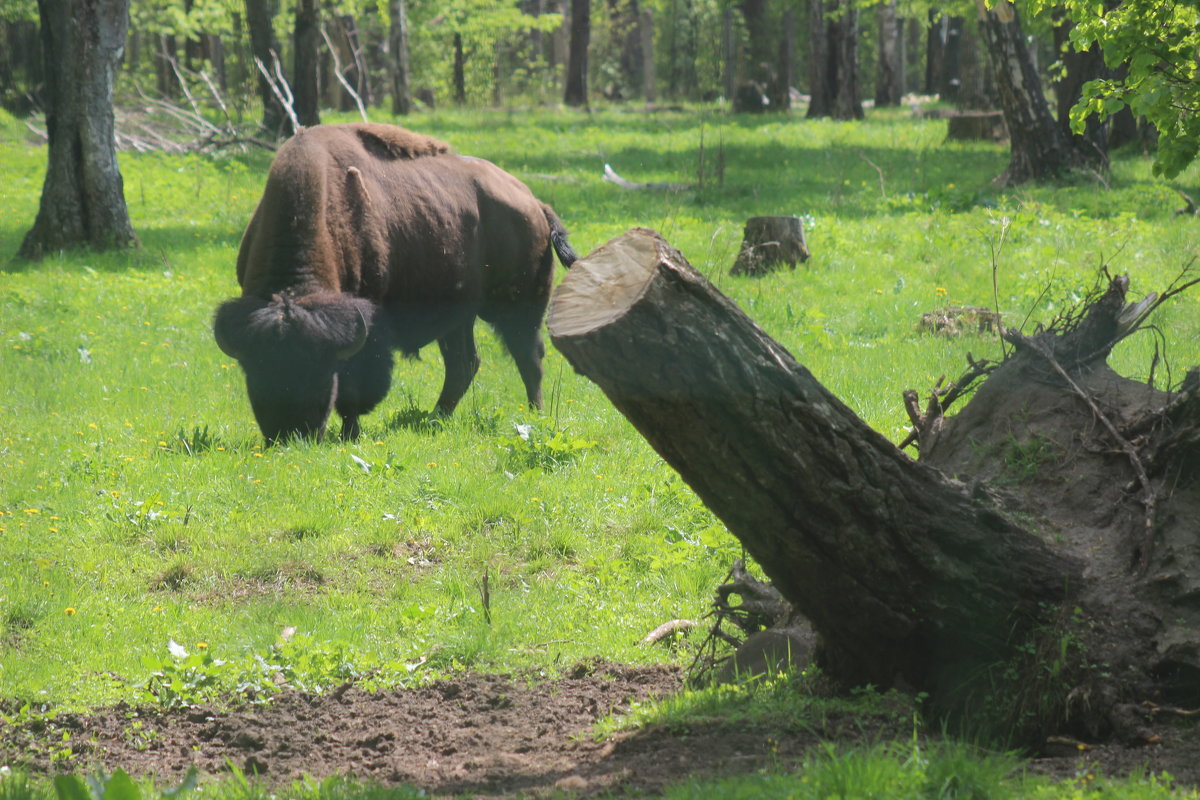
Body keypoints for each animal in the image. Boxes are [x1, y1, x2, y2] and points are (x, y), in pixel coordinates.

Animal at [213, 123, 578, 443]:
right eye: (256, 371)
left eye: (321, 371)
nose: (291, 433)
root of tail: (534, 203)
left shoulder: (365, 332)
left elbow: (356, 387)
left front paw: (350, 434)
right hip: (459, 317)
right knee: (464, 364)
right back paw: (435, 419)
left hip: (517, 307)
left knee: (528, 356)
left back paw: (533, 414)